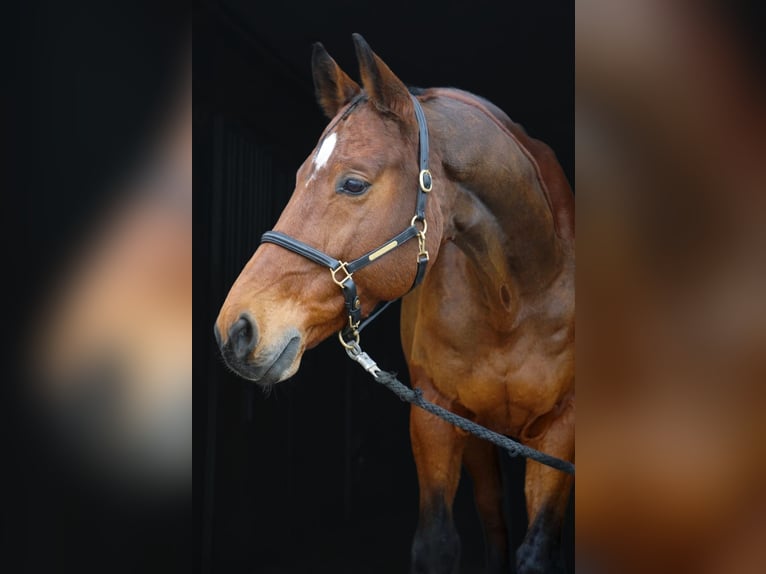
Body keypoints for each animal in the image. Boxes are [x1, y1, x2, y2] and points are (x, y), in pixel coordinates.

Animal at [215, 33, 574, 574]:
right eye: (298, 176)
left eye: (354, 183)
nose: (236, 330)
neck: (516, 295)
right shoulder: (434, 416)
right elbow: (438, 543)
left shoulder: (560, 430)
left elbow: (535, 553)